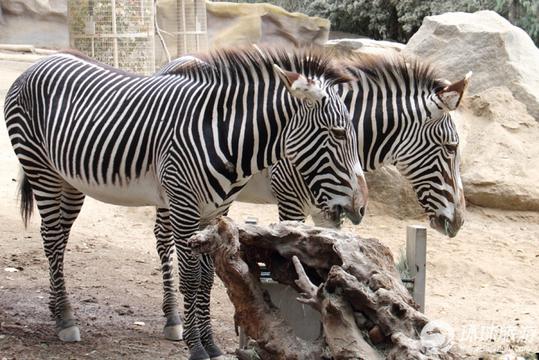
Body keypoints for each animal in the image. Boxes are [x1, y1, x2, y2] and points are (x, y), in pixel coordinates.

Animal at [3, 47, 368, 360]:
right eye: (338, 133)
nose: (361, 206)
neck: (224, 137)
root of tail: (39, 62)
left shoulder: (214, 213)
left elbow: (208, 278)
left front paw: (211, 344)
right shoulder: (184, 208)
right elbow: (191, 278)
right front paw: (195, 347)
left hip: (69, 181)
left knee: (56, 238)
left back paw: (57, 308)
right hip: (42, 170)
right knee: (52, 239)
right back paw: (65, 320)